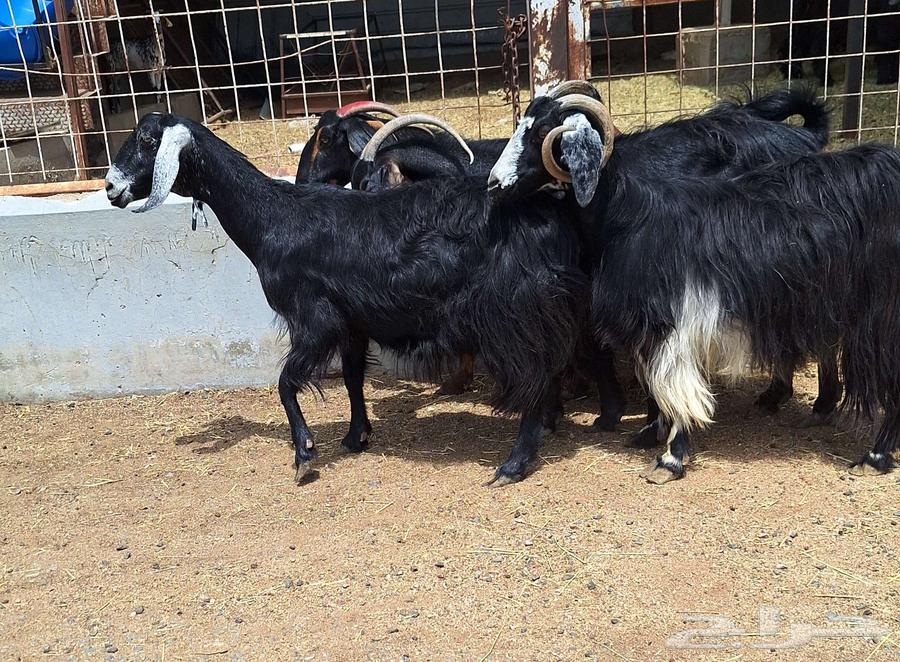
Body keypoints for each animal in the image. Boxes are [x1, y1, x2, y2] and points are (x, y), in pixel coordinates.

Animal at [105, 112, 589, 486]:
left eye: (147, 140)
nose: (111, 188)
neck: (274, 218)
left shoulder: (314, 318)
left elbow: (286, 382)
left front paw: (304, 455)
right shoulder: (353, 320)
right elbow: (354, 378)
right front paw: (357, 437)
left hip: (512, 311)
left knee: (536, 374)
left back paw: (514, 464)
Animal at [488, 87, 851, 466]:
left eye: (543, 133)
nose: (494, 183)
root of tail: (804, 136)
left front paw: (646, 425)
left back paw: (813, 402)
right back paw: (783, 397)